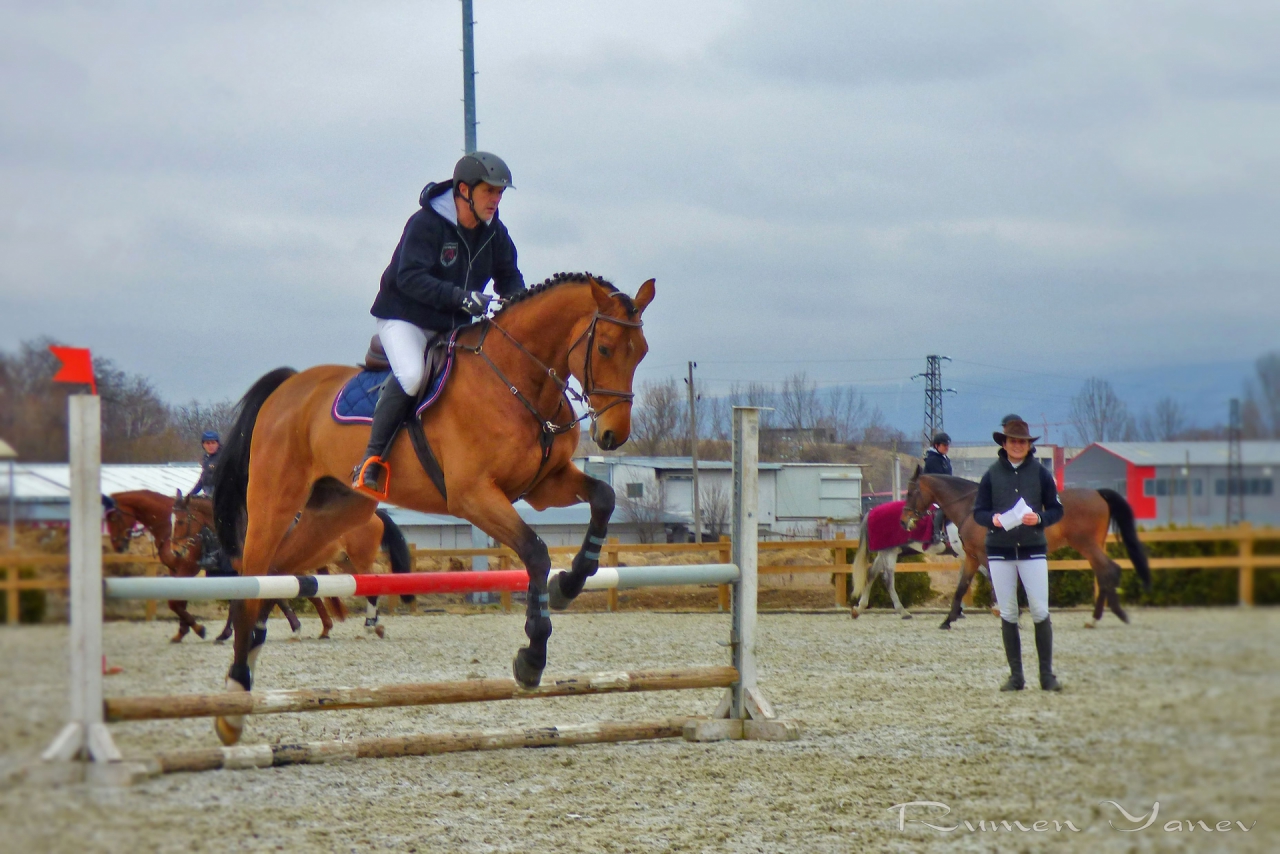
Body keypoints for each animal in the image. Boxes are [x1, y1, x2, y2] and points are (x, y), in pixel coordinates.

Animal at [213, 275, 655, 747]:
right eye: (604, 348)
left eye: (641, 351)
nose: (612, 436)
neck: (517, 378)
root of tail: (290, 386)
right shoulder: (472, 495)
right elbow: (535, 551)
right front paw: (531, 658)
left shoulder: (544, 485)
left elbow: (604, 499)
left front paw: (568, 585)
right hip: (274, 503)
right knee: (251, 582)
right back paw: (233, 697)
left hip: (334, 513)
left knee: (275, 576)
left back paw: (248, 670)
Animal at [896, 468, 1157, 627]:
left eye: (910, 492)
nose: (904, 520)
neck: (971, 508)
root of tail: (1096, 493)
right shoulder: (971, 556)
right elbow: (961, 588)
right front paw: (948, 620)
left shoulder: (984, 555)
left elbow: (995, 583)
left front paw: (1009, 612)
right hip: (1092, 545)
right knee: (1104, 572)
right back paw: (1098, 618)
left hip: (1087, 544)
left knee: (1108, 570)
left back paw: (1105, 616)